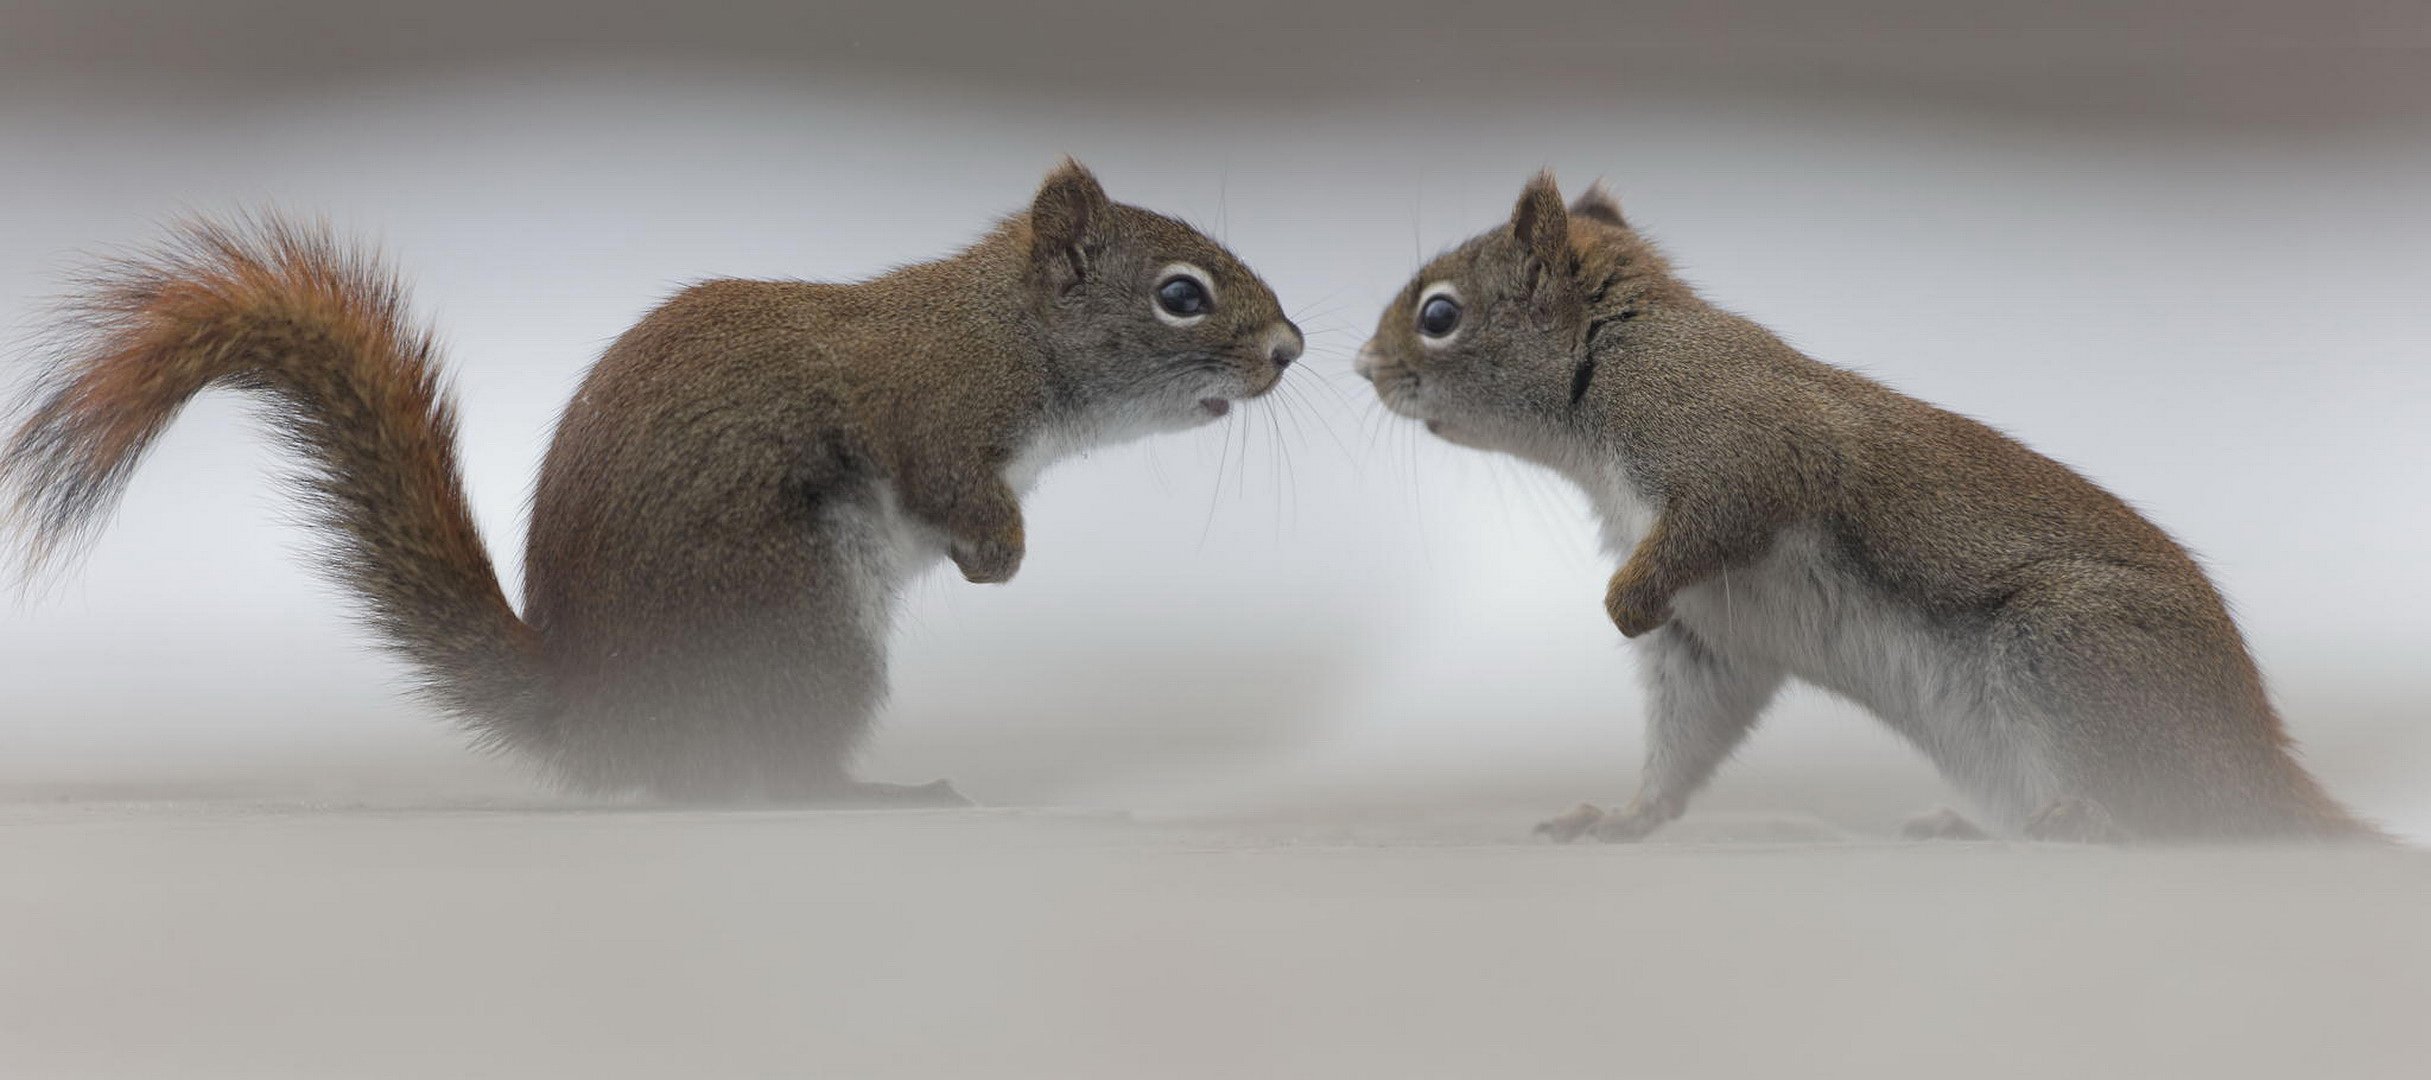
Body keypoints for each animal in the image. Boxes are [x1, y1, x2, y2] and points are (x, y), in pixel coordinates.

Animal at [4, 160, 1312, 802]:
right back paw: (867, 796)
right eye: (1181, 295)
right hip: (798, 625)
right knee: (758, 787)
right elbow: (946, 482)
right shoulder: (931, 412)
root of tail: (602, 720)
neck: (1007, 332)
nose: (1290, 349)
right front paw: (998, 556)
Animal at [1361, 170, 2382, 841]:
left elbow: (1729, 504)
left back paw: (2079, 820)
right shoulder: (1711, 635)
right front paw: (1625, 814)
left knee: (2171, 819)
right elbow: (1690, 730)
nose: (1363, 367)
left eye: (1439, 315)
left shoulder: (1731, 441)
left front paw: (1620, 602)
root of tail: (2255, 760)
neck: (1613, 353)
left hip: (2073, 650)